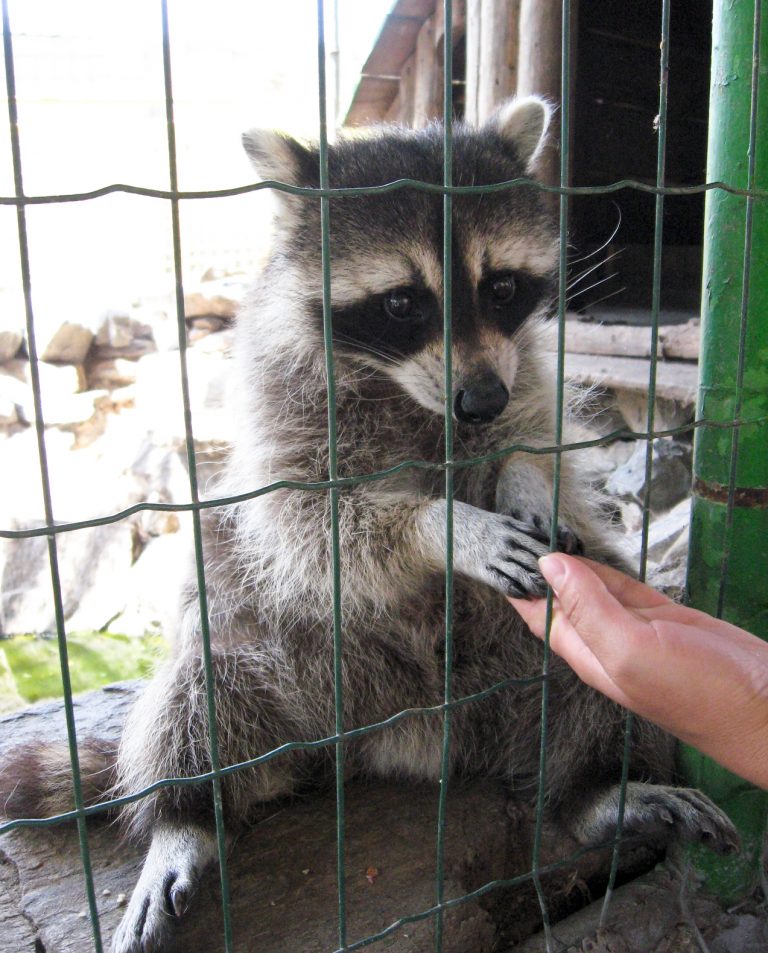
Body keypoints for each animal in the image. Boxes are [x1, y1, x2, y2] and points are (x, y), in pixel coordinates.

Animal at [1, 98, 737, 953]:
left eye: (502, 286)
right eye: (402, 303)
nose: (479, 400)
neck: (403, 390)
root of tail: (410, 736)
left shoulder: (525, 365)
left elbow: (539, 434)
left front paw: (523, 474)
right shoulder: (281, 403)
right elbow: (313, 520)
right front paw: (446, 527)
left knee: (589, 670)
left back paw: (594, 791)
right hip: (287, 655)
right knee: (209, 669)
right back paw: (187, 817)